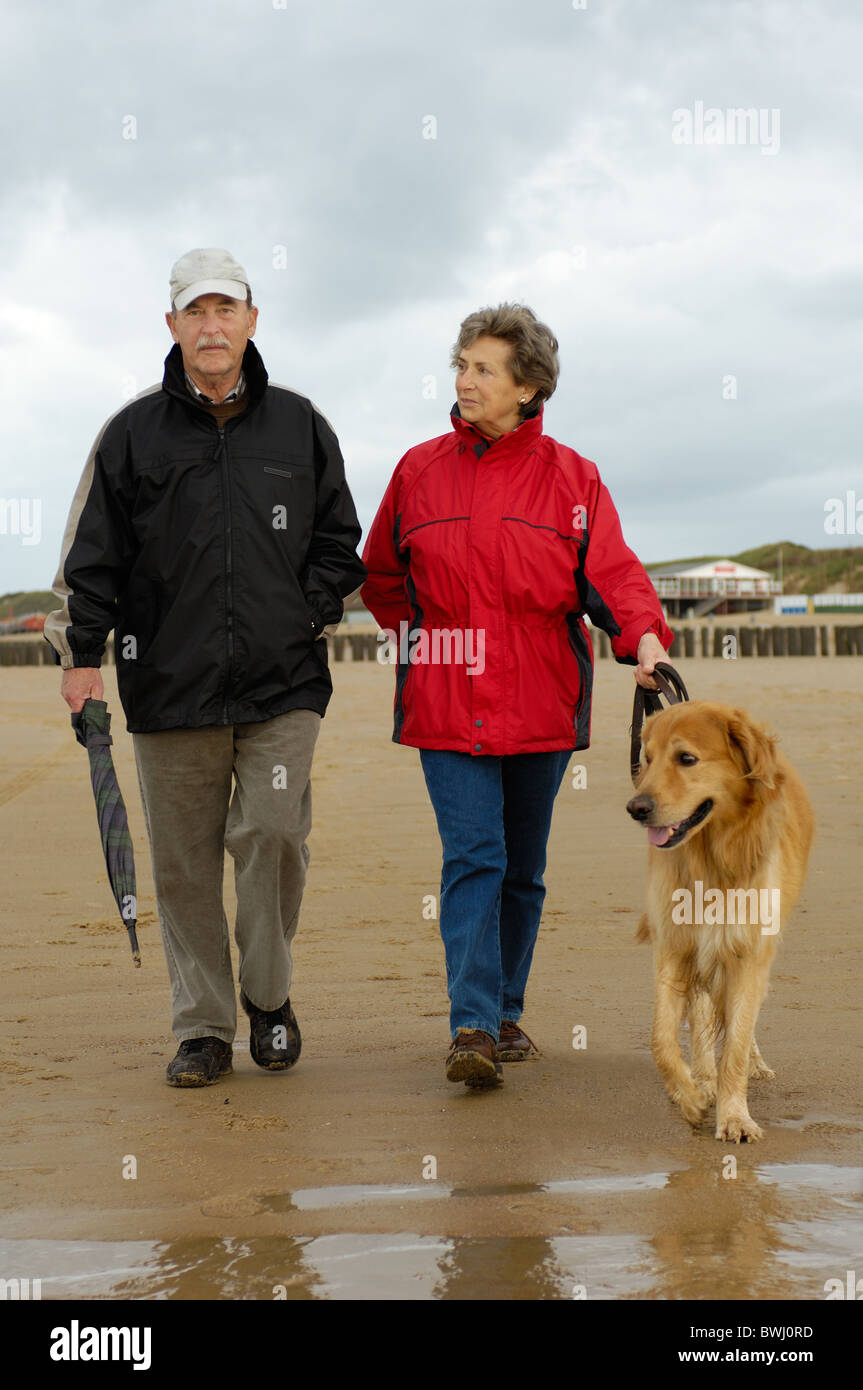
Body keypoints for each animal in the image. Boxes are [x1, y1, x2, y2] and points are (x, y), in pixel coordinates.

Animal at [625, 700, 817, 1145]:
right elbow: (662, 1039)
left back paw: (752, 1065)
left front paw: (734, 1117)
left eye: (686, 758)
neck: (710, 858)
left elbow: (737, 1040)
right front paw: (692, 1097)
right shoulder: (675, 948)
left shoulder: (748, 954)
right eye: (647, 759)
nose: (636, 809)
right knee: (699, 1017)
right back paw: (703, 1079)